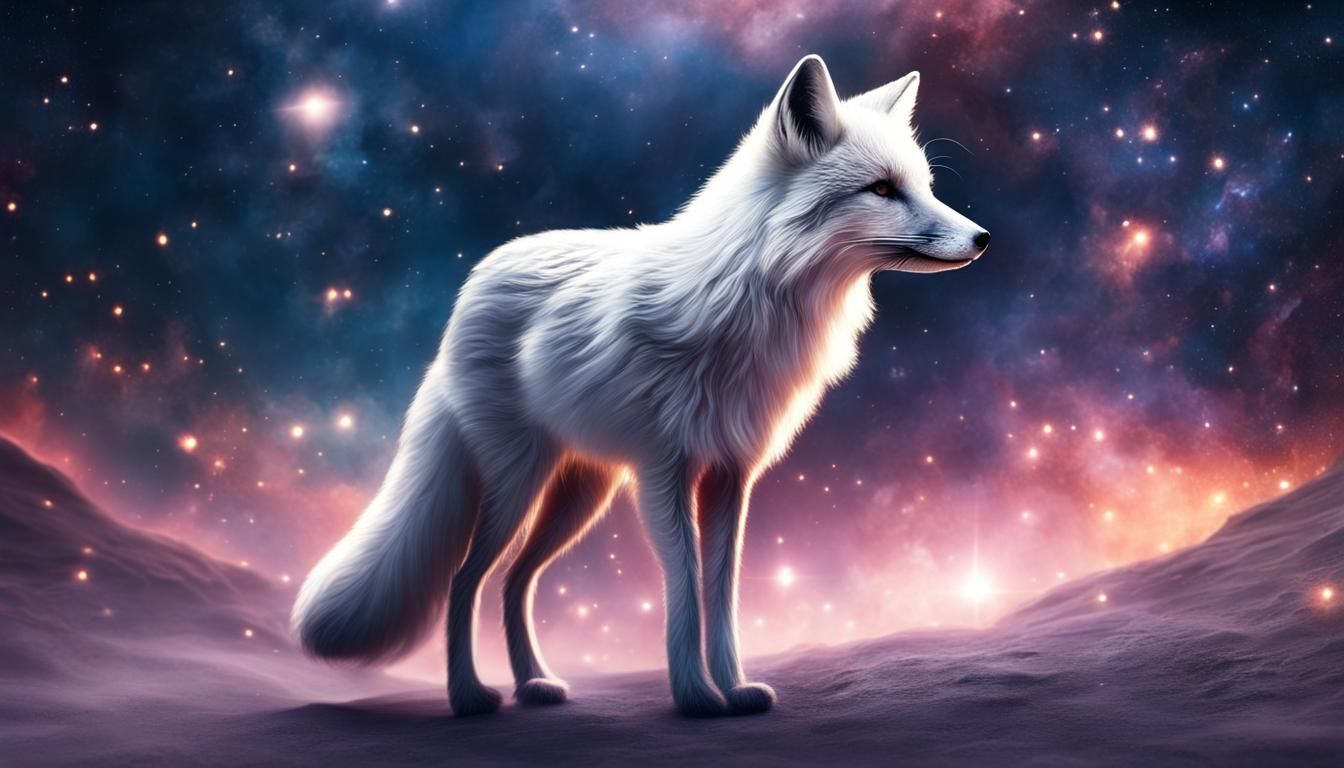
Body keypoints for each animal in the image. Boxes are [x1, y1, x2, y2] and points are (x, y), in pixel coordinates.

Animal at [292, 54, 989, 718]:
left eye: (924, 187)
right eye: (882, 189)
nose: (983, 239)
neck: (747, 301)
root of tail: (474, 285)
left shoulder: (731, 475)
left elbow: (721, 590)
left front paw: (735, 689)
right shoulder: (663, 472)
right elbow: (683, 588)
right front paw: (697, 698)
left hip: (581, 495)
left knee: (515, 581)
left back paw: (535, 684)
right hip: (517, 484)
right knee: (466, 580)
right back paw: (469, 698)